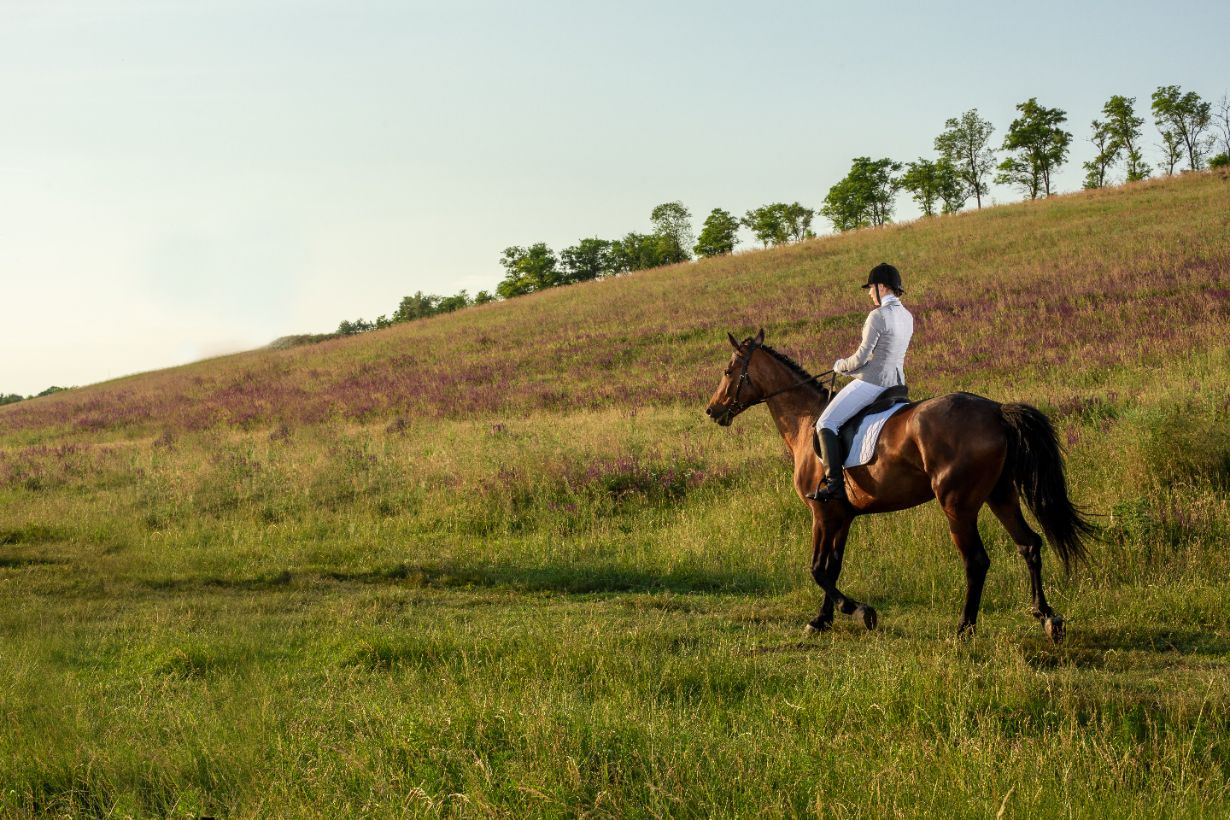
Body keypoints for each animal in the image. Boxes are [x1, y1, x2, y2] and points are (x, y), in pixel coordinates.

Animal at [704, 329, 1094, 642]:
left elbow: (817, 569)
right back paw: (1047, 618)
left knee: (977, 561)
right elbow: (832, 567)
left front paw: (860, 613)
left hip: (958, 506)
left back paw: (964, 628)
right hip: (1001, 495)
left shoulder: (822, 513)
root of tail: (996, 411)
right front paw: (823, 619)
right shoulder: (842, 517)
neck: (806, 422)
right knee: (1029, 545)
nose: (712, 411)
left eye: (728, 371)